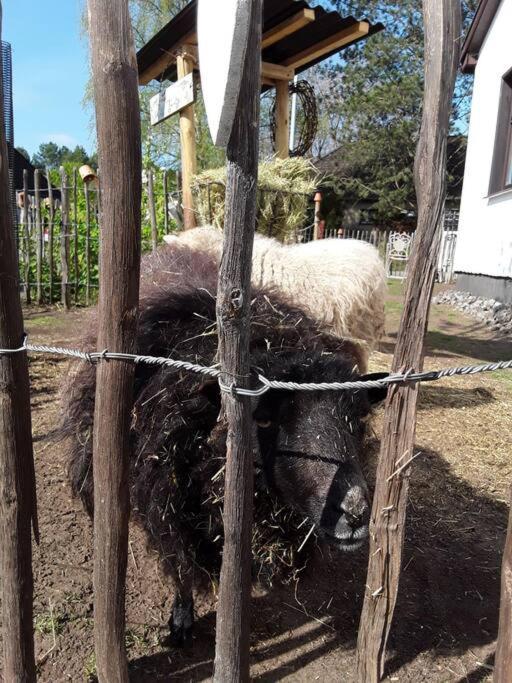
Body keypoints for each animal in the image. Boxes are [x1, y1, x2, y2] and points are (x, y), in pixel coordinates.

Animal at [61, 244, 388, 648]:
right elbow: (182, 568)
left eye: (357, 417)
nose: (355, 513)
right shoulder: (169, 509)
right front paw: (182, 617)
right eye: (264, 419)